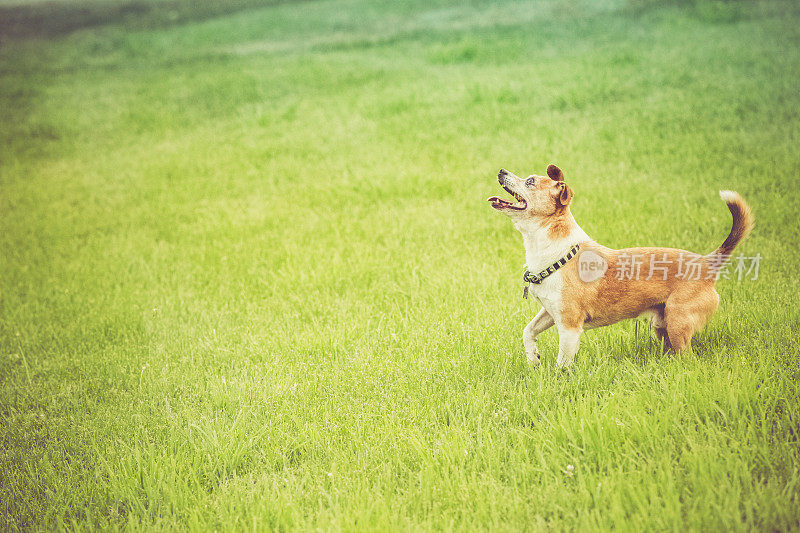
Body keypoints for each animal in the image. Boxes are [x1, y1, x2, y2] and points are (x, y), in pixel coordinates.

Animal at [490, 164, 752, 368]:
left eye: (530, 181)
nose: (502, 171)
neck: (555, 251)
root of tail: (707, 262)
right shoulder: (550, 312)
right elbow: (528, 331)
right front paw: (533, 359)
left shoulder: (569, 326)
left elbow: (562, 363)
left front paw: (556, 381)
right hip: (663, 324)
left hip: (678, 322)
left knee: (686, 356)